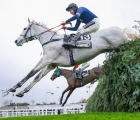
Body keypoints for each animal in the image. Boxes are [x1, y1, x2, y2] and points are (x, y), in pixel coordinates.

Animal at [8, 19, 138, 97]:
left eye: (24, 28)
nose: (16, 41)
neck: (50, 41)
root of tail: (121, 29)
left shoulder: (46, 59)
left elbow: (31, 73)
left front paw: (14, 87)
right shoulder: (51, 64)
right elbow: (37, 78)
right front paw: (22, 92)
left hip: (123, 45)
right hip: (119, 48)